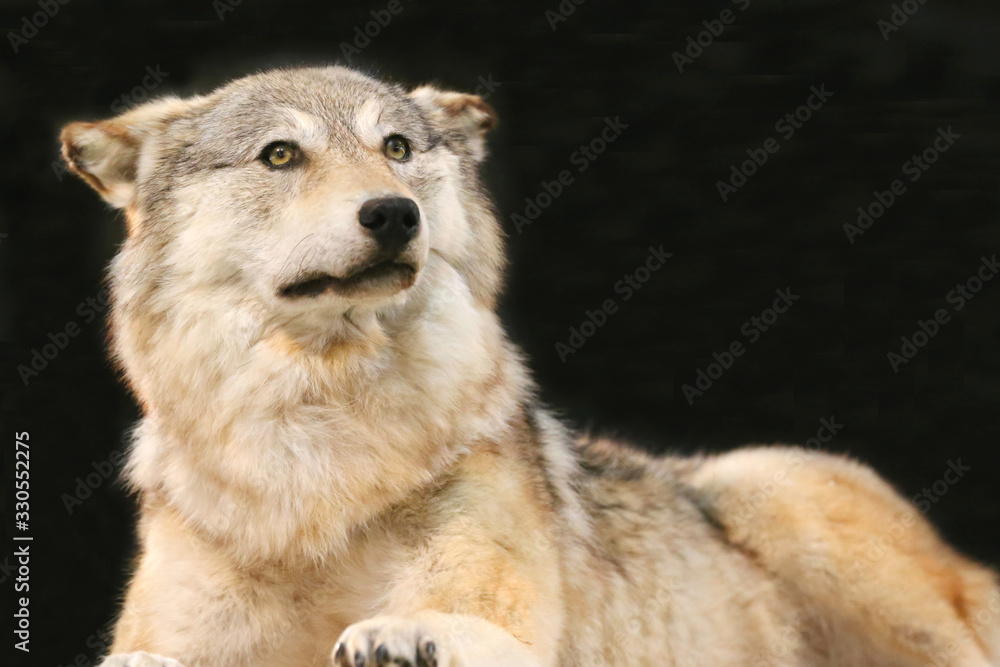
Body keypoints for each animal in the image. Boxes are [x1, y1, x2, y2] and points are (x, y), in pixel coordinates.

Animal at [60, 66, 999, 667]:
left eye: (395, 147)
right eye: (281, 155)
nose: (393, 213)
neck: (320, 438)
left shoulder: (507, 615)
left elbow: (467, 623)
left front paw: (405, 635)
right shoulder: (173, 628)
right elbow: (141, 656)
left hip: (770, 491)